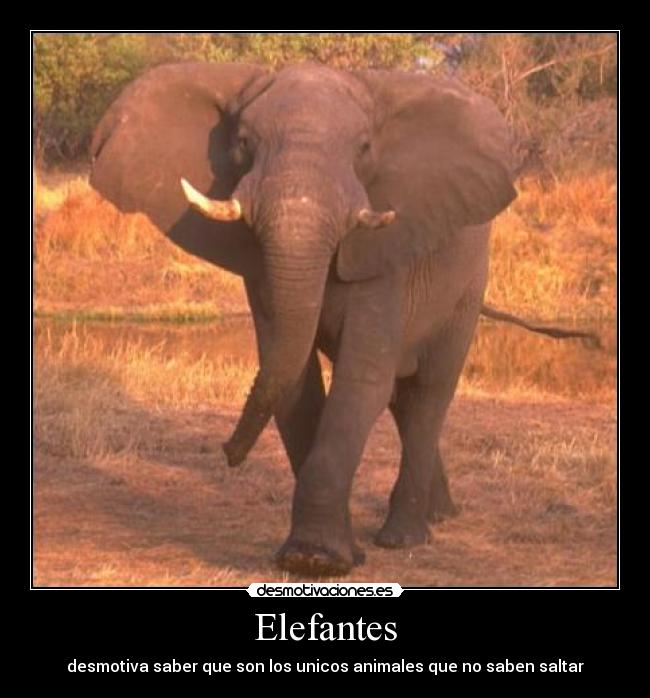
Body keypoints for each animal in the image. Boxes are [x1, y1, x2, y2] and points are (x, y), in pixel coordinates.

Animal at [90, 62, 594, 576]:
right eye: (244, 142)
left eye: (364, 149)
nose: (228, 453)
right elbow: (296, 383)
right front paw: (329, 554)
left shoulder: (388, 255)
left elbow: (360, 380)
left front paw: (317, 560)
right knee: (403, 400)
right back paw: (439, 515)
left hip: (467, 289)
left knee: (430, 393)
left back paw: (406, 537)